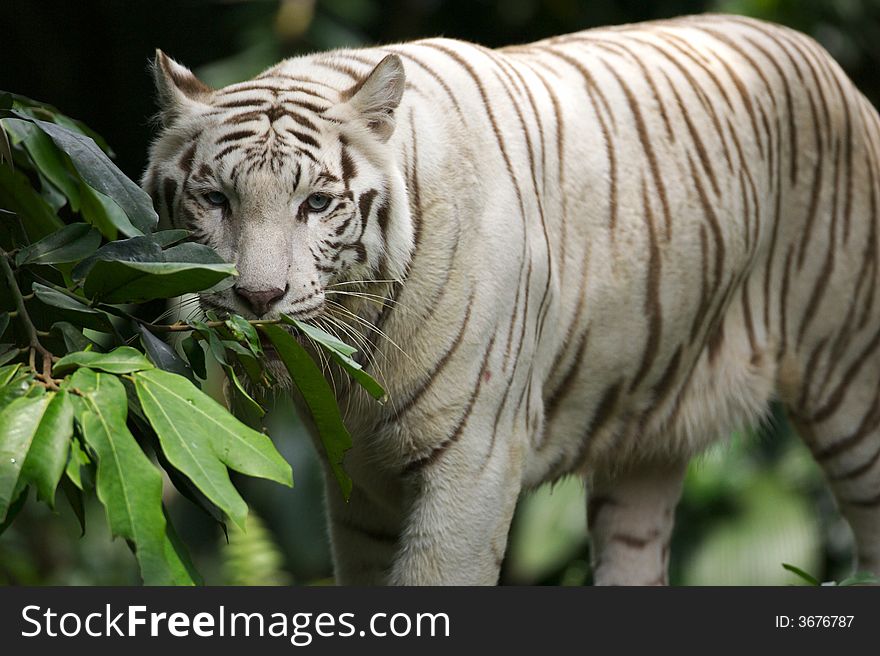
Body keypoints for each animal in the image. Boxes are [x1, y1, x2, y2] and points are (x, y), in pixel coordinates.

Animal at [144, 14, 880, 584]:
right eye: (216, 199)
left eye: (316, 204)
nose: (258, 296)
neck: (358, 352)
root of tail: (827, 61)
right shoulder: (357, 482)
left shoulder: (473, 462)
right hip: (641, 454)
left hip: (853, 386)